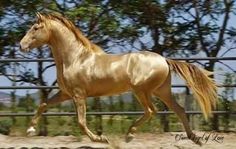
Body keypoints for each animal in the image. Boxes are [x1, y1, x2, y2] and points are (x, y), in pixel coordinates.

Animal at [20, 12, 218, 146]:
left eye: (35, 28)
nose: (21, 45)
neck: (75, 58)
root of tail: (164, 60)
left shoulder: (78, 95)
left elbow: (81, 122)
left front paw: (101, 139)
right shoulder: (65, 94)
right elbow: (43, 105)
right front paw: (30, 130)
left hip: (141, 90)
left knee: (151, 110)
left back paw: (129, 135)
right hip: (161, 91)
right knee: (179, 110)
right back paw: (195, 139)